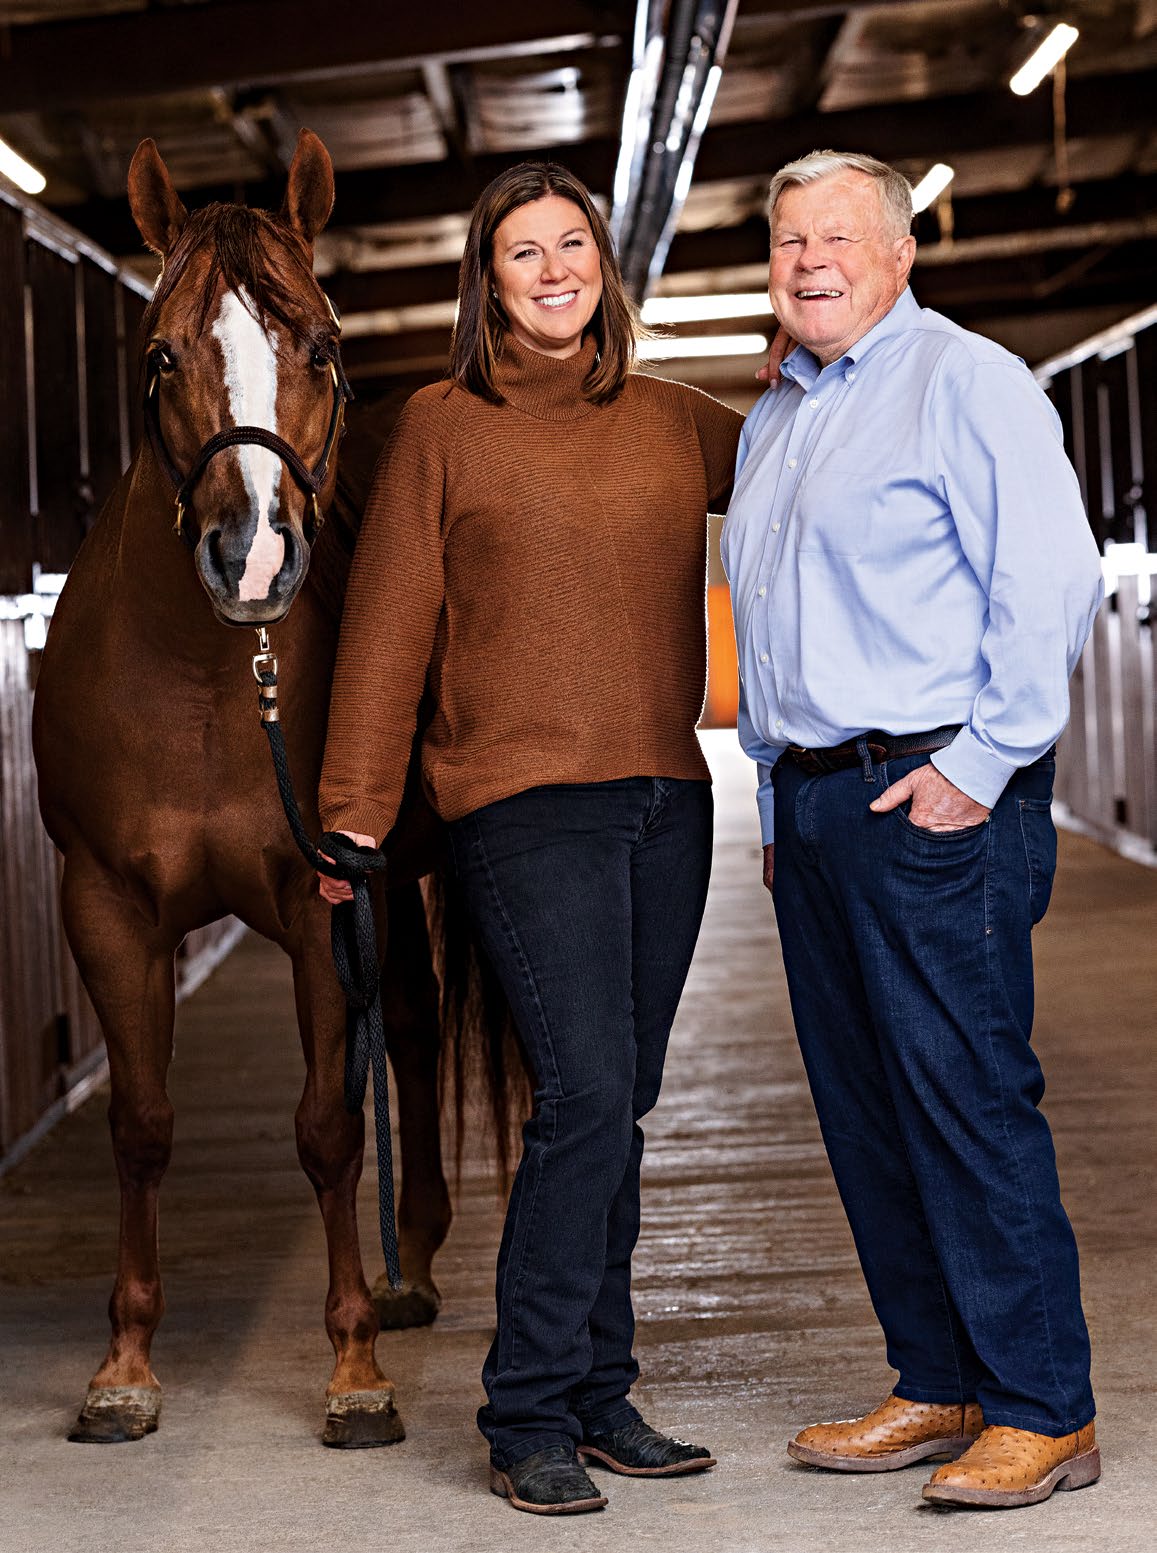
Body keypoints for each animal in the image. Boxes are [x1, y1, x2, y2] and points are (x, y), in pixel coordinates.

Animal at [31, 127, 518, 1447]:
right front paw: (125, 1363)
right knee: (407, 1021)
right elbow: (141, 1124)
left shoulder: (317, 898)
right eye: (159, 353)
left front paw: (352, 1370)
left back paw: (408, 1272)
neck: (214, 683)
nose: (250, 556)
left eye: (323, 346)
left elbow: (328, 1123)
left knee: (408, 1031)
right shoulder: (105, 909)